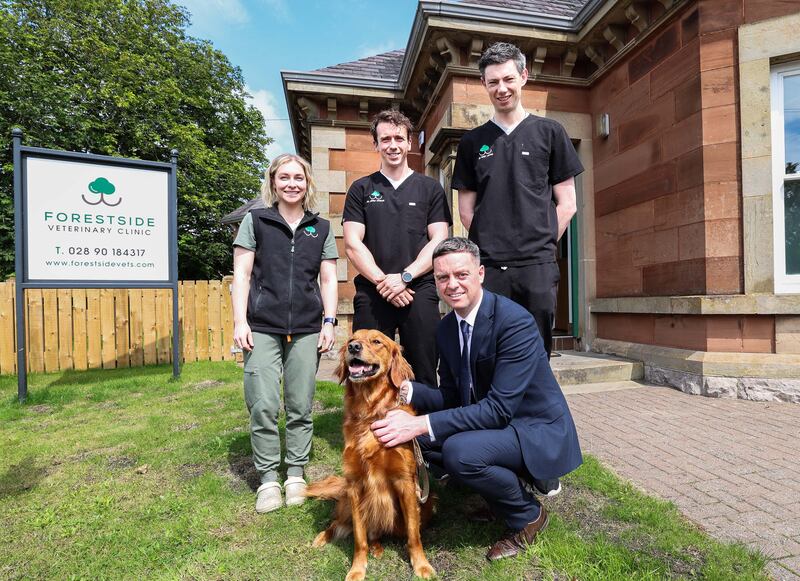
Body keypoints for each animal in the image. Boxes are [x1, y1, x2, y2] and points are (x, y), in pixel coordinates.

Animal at [304, 328, 434, 576]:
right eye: (352, 339)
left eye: (377, 341)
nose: (354, 347)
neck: (370, 412)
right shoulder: (354, 485)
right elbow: (359, 536)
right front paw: (357, 569)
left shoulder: (405, 482)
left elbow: (413, 534)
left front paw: (421, 565)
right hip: (345, 500)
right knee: (339, 524)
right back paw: (322, 537)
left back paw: (377, 547)